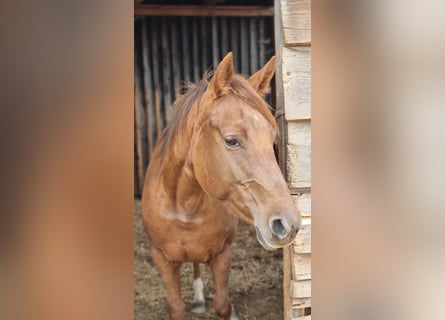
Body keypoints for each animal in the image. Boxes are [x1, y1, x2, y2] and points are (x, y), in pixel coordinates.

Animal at [142, 51, 302, 318]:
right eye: (231, 140)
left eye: (272, 140)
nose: (288, 225)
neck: (183, 207)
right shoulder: (162, 260)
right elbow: (176, 307)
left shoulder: (222, 255)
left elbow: (223, 306)